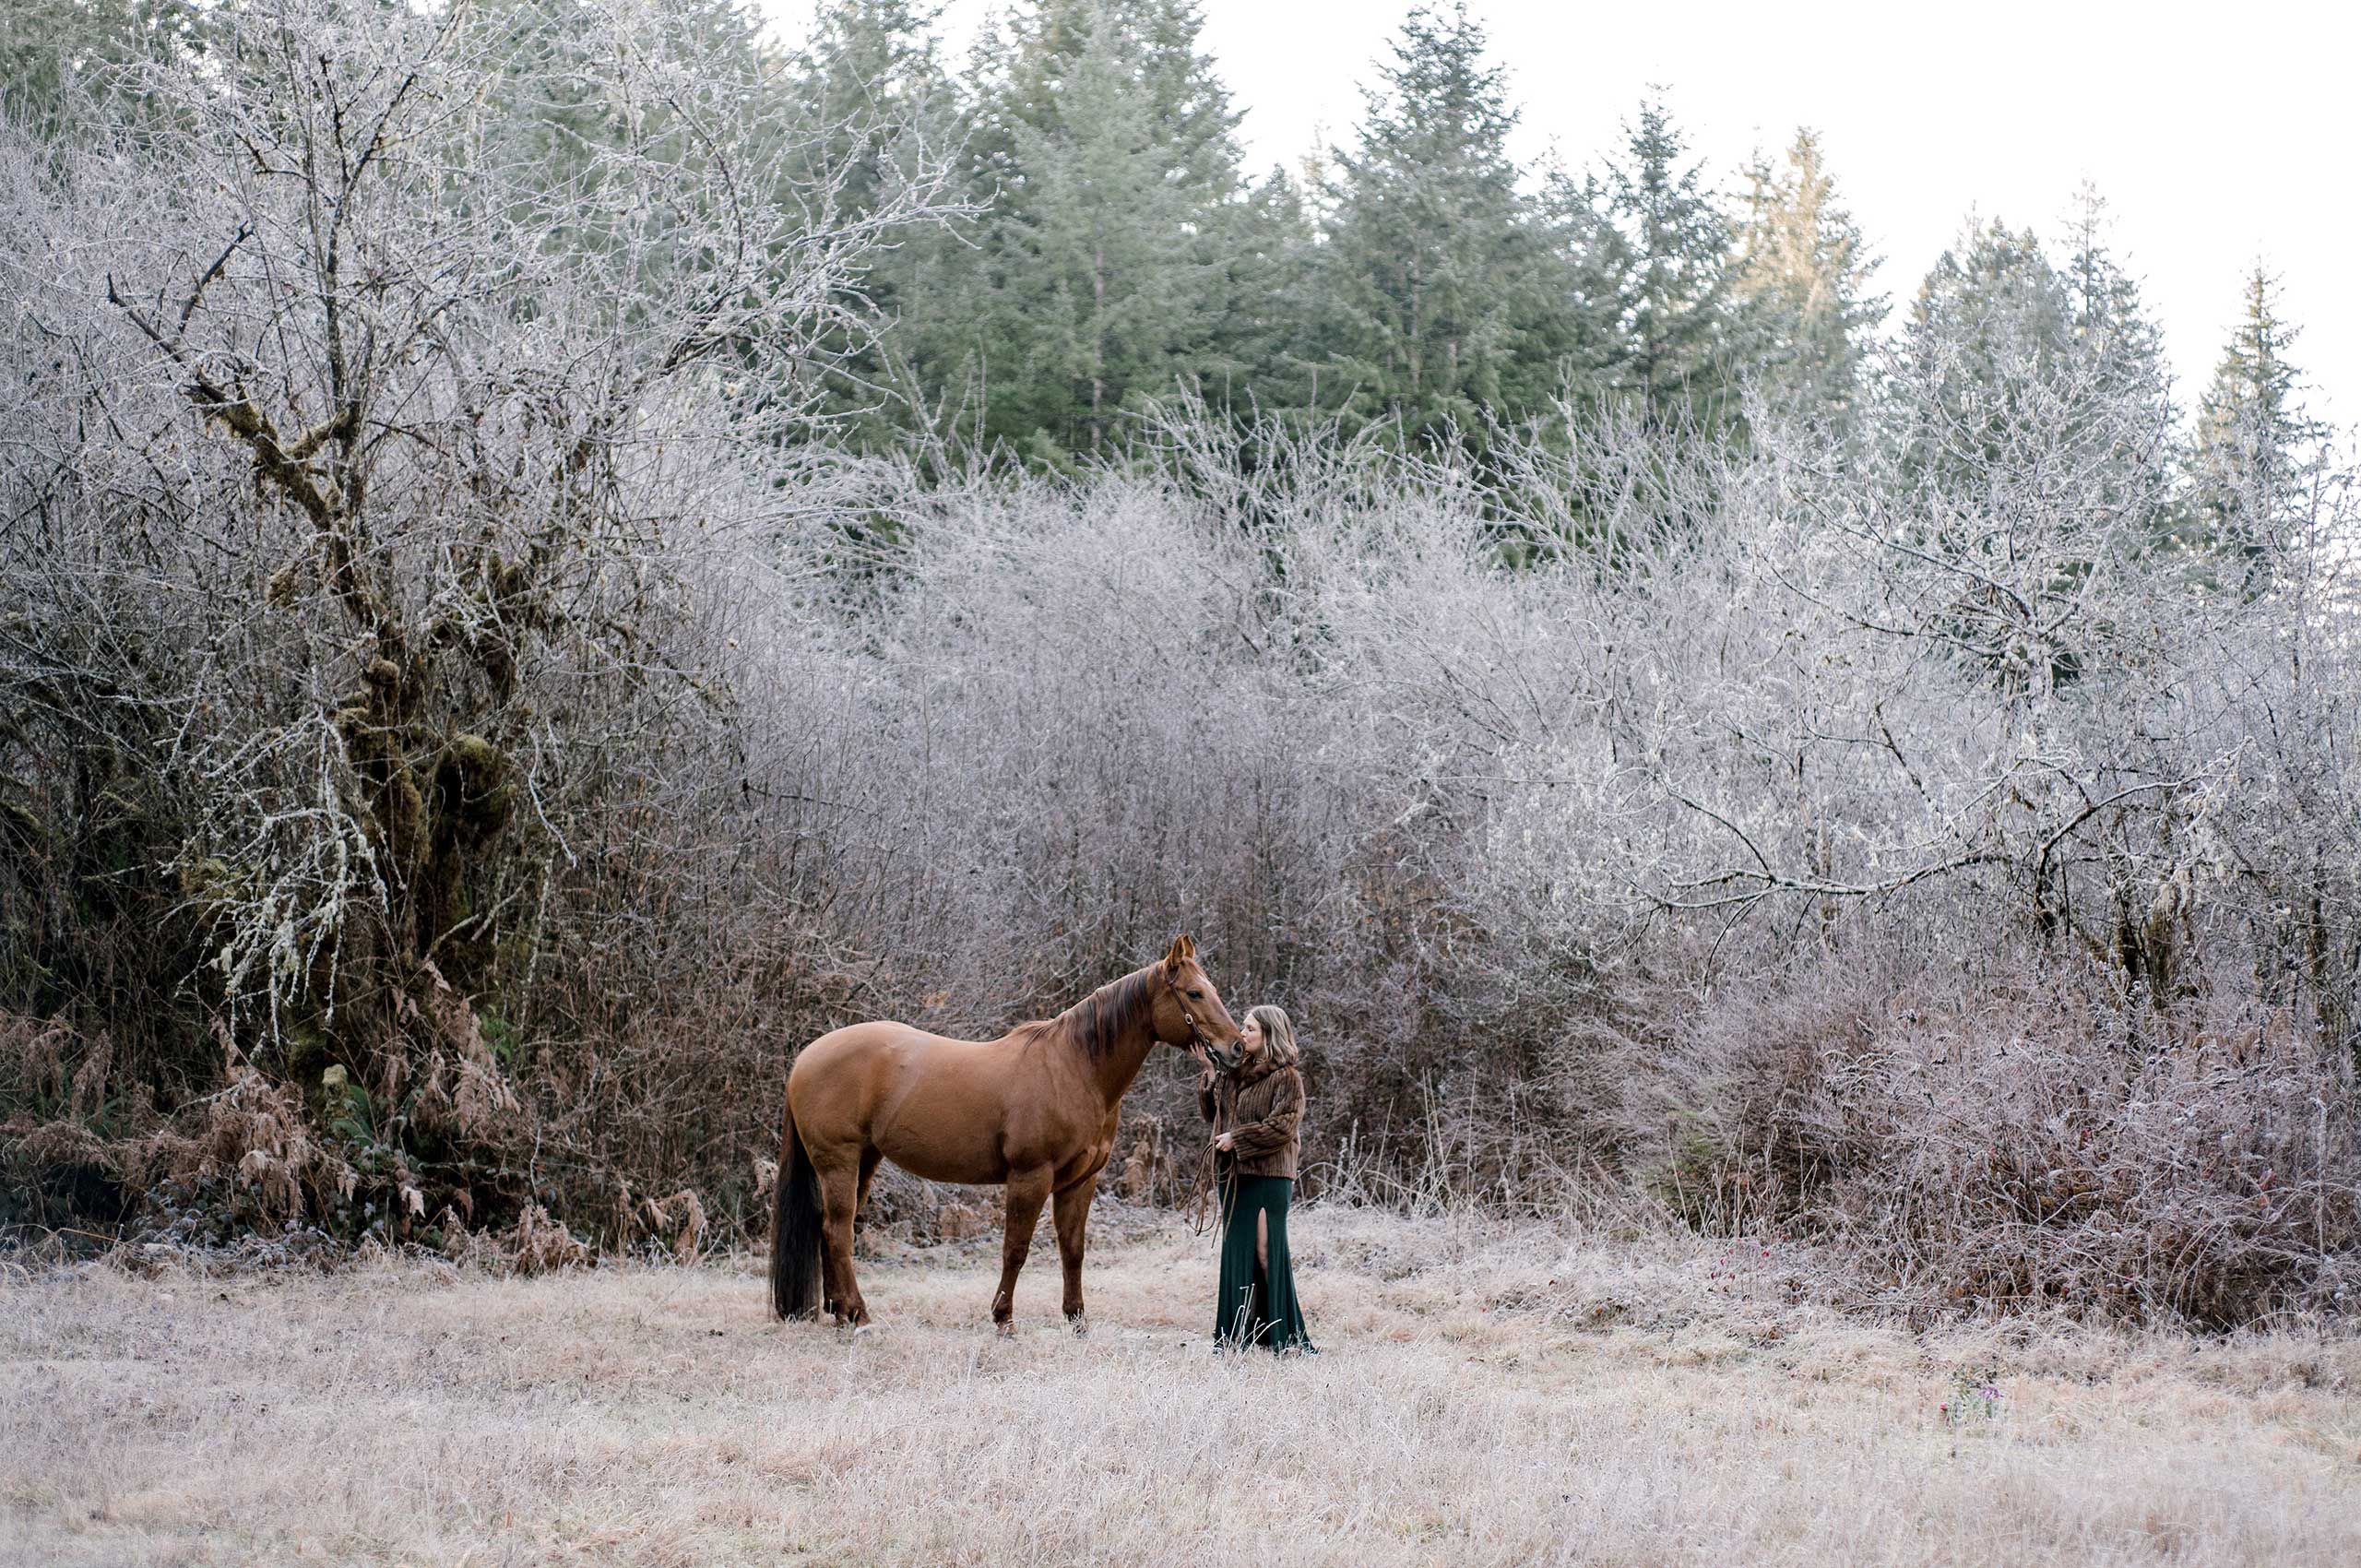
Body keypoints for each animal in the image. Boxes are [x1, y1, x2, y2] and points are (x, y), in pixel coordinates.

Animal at [778, 934, 1255, 1331]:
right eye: (1194, 993)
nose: (1237, 1049)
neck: (1075, 1068)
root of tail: (805, 1057)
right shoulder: (1031, 1176)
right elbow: (1016, 1248)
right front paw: (1003, 1318)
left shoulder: (1080, 1182)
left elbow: (1073, 1249)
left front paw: (1076, 1320)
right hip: (839, 1161)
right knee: (838, 1231)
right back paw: (858, 1315)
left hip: (866, 1160)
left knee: (827, 1229)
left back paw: (840, 1311)